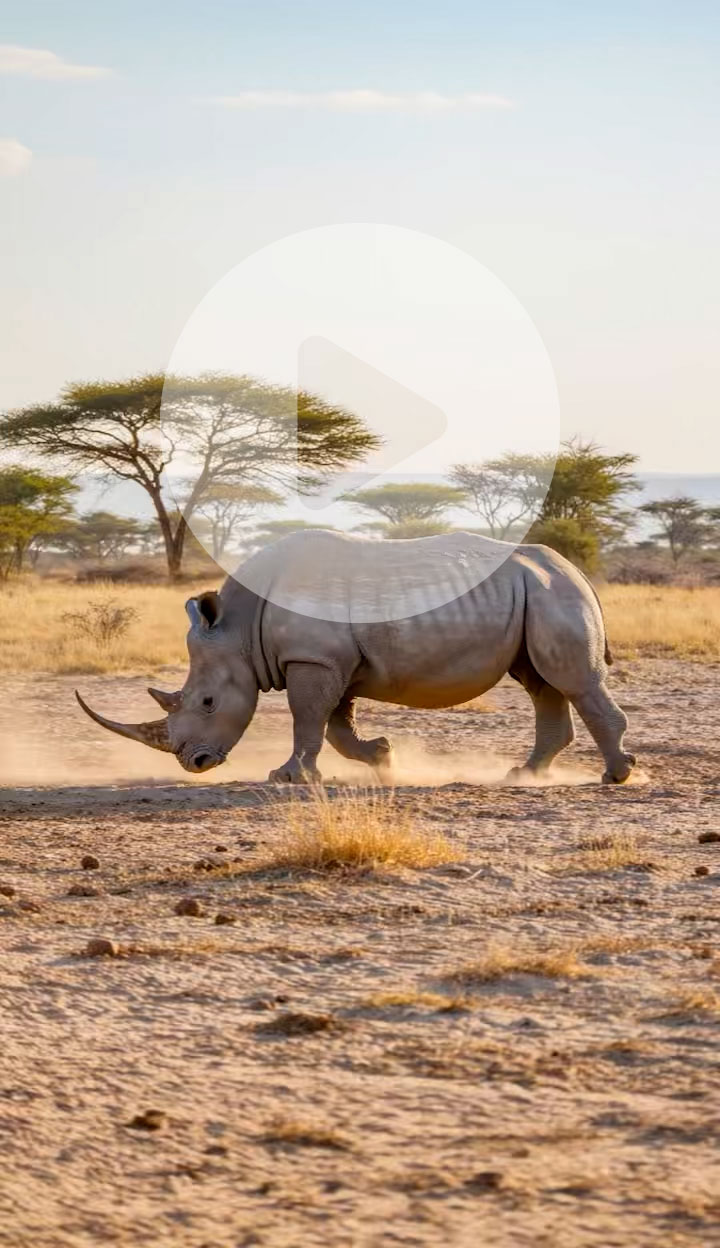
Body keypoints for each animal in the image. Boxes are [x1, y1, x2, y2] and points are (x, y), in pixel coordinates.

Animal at [76, 530, 636, 785]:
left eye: (209, 702)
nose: (194, 763)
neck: (239, 627)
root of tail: (575, 569)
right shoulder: (330, 661)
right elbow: (335, 727)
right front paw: (383, 758)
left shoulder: (312, 659)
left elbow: (308, 718)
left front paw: (287, 778)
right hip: (536, 596)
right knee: (541, 682)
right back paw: (524, 776)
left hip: (552, 595)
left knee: (572, 681)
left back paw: (616, 776)